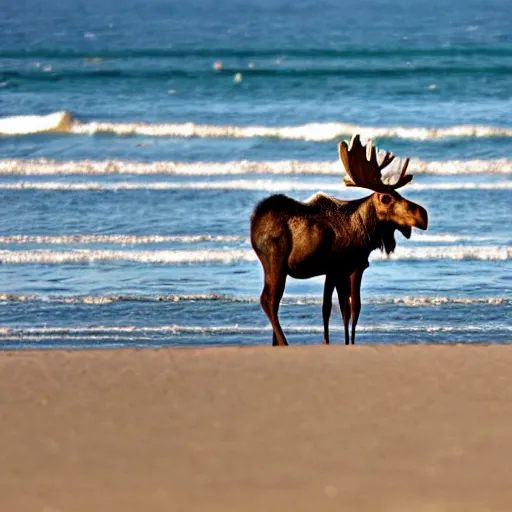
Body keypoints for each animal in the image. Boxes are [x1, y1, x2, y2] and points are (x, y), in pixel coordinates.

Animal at [250, 134, 426, 346]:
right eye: (386, 198)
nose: (423, 215)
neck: (365, 232)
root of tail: (254, 222)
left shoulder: (338, 270)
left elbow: (336, 309)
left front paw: (335, 342)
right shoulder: (347, 267)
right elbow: (347, 309)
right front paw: (344, 343)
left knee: (273, 302)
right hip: (275, 261)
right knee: (268, 300)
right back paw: (284, 342)